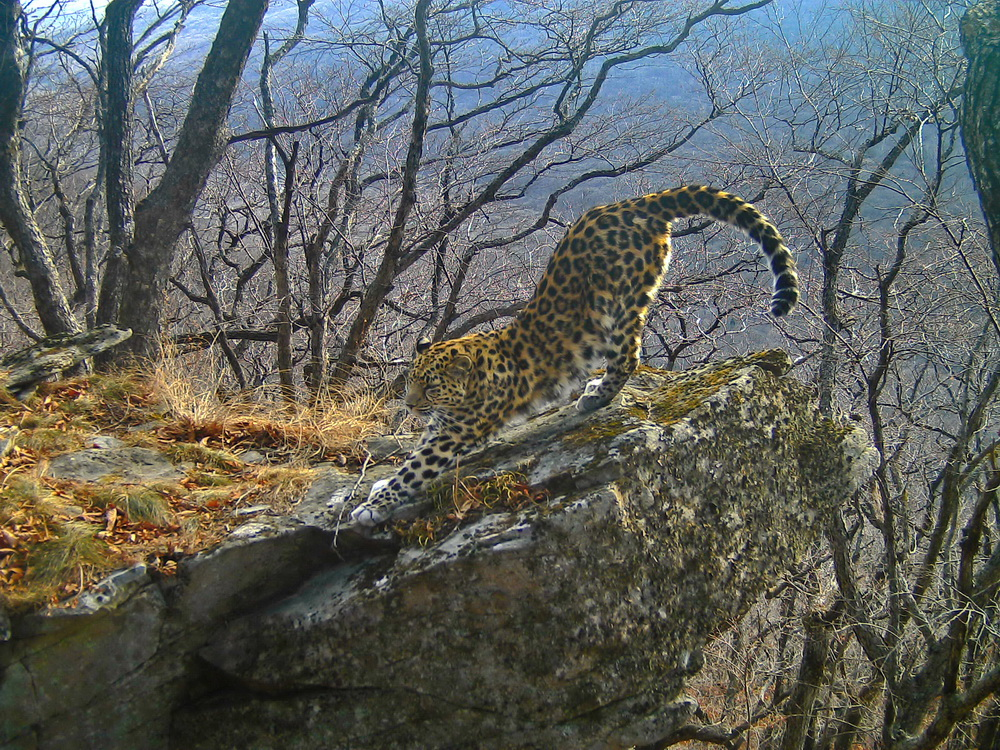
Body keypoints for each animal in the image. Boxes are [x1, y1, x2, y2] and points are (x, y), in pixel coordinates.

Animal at [348, 185, 799, 526]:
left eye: (431, 386)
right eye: (411, 381)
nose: (409, 405)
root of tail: (633, 203)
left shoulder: (456, 431)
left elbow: (415, 467)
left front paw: (373, 506)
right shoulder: (444, 425)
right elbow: (413, 454)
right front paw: (378, 487)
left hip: (620, 304)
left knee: (629, 356)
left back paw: (595, 395)